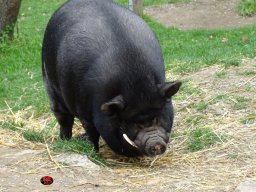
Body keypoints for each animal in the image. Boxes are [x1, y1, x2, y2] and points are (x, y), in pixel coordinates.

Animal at [42, 0, 181, 157]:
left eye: (158, 115)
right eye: (128, 122)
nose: (155, 143)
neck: (135, 82)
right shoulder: (84, 112)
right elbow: (92, 133)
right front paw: (95, 154)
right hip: (50, 83)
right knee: (63, 117)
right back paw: (64, 141)